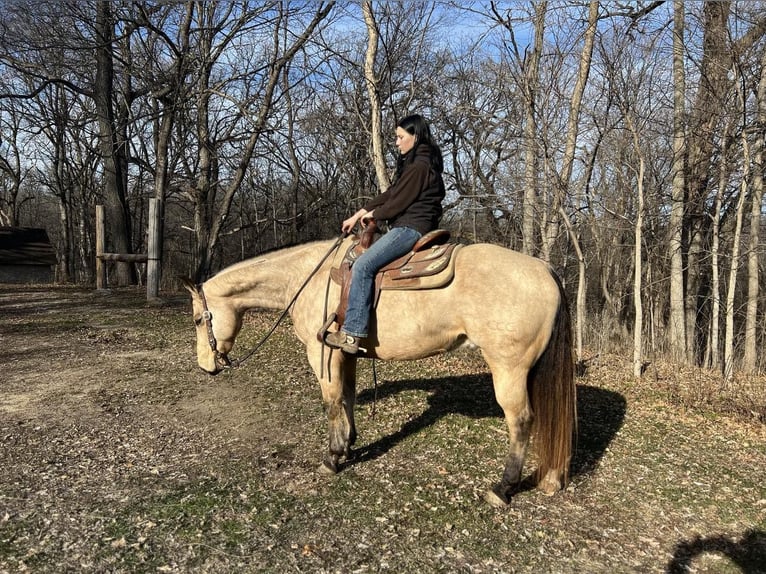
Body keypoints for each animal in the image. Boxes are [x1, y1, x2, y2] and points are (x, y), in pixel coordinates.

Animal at [182, 234, 576, 508]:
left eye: (200, 319)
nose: (206, 367)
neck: (307, 277)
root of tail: (546, 270)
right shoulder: (346, 353)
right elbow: (347, 397)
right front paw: (349, 445)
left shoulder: (321, 353)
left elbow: (331, 403)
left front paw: (332, 458)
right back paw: (551, 479)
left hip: (509, 369)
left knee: (521, 421)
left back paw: (503, 488)